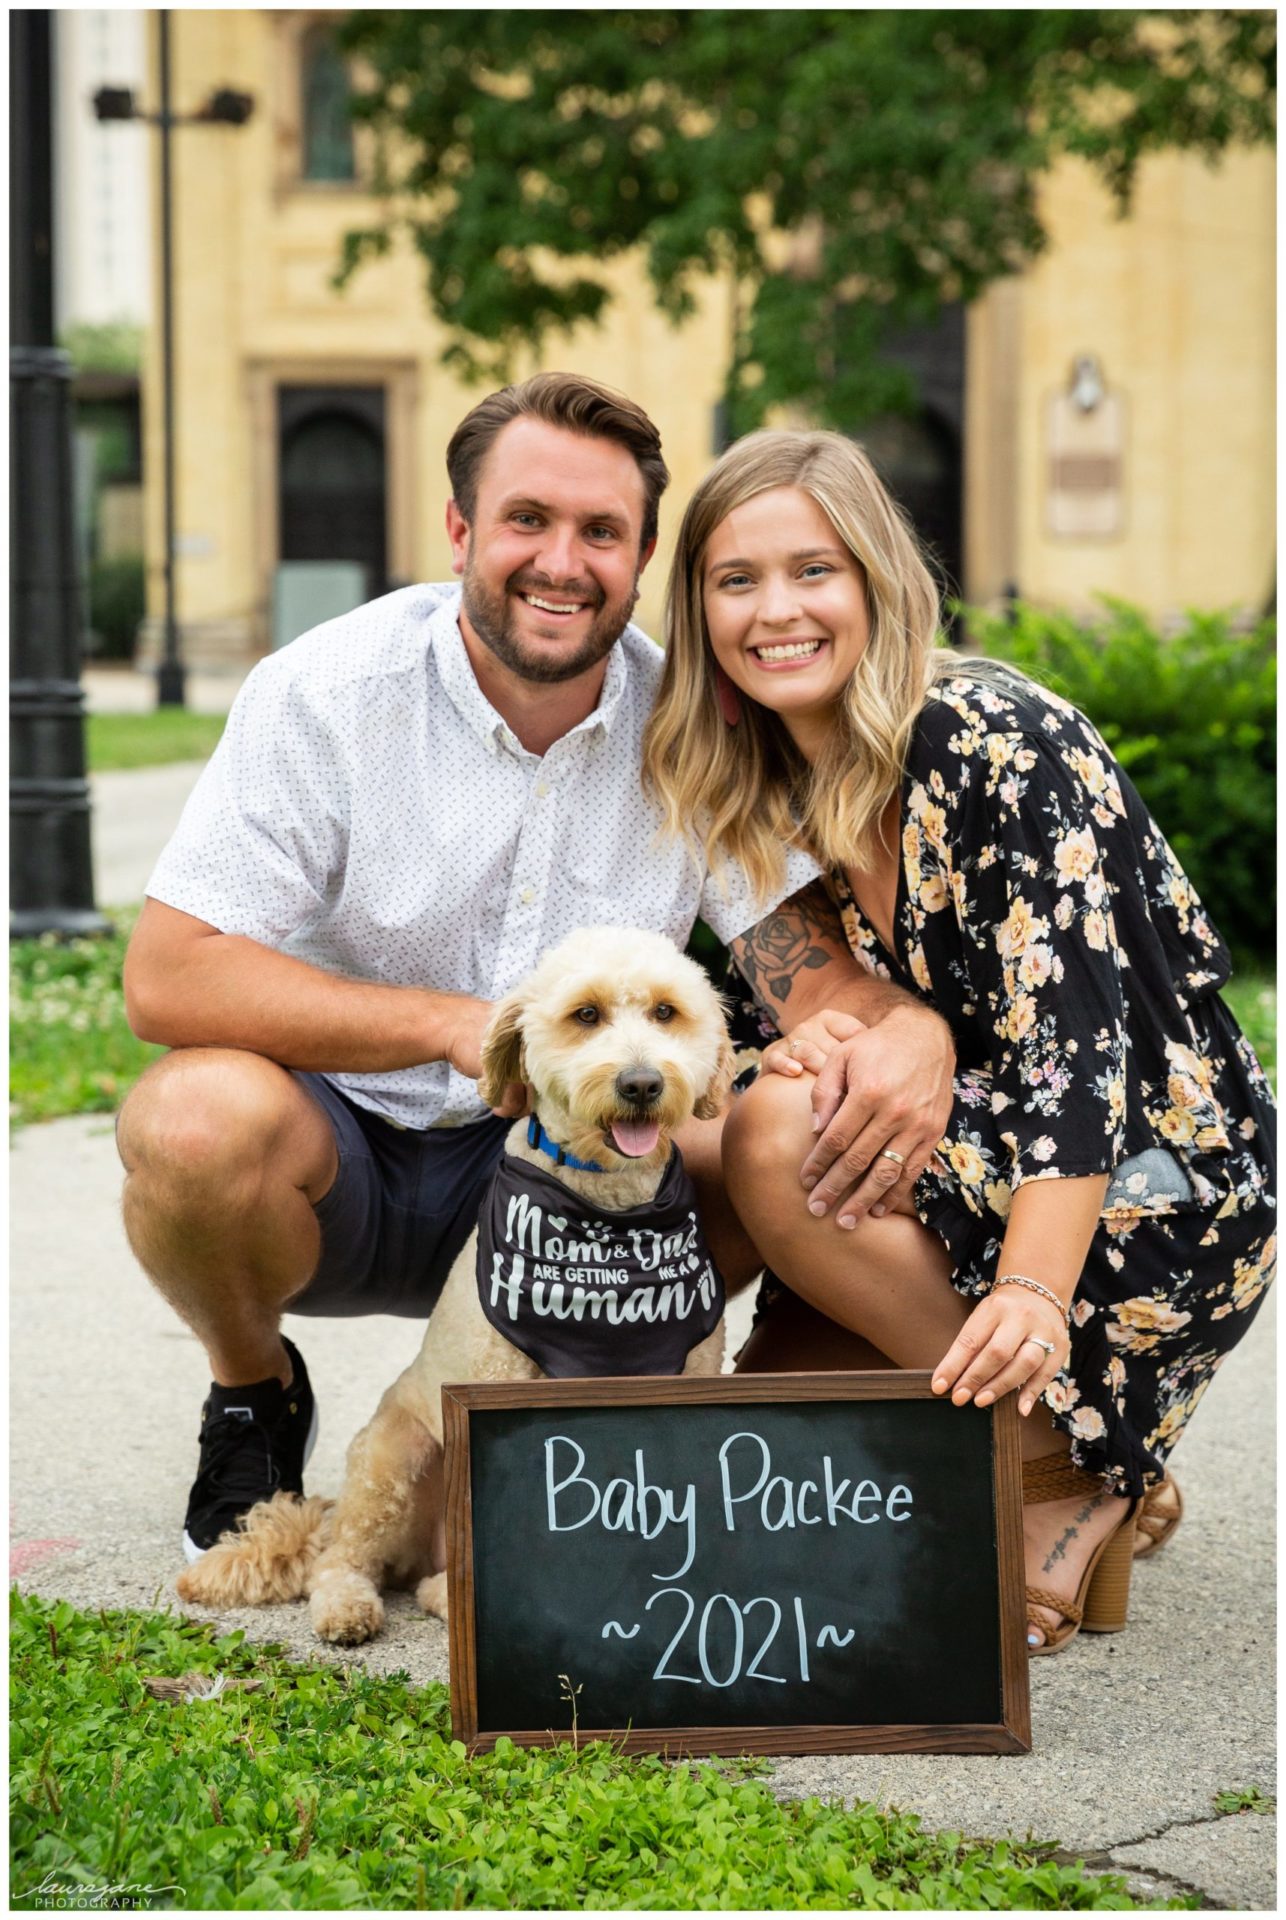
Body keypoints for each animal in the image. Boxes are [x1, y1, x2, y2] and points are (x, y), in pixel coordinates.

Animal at [176, 921, 737, 1643]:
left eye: (667, 1012)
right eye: (586, 1015)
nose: (640, 1084)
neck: (605, 1210)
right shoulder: (505, 1394)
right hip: (392, 1459)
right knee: (344, 1558)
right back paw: (354, 1605)